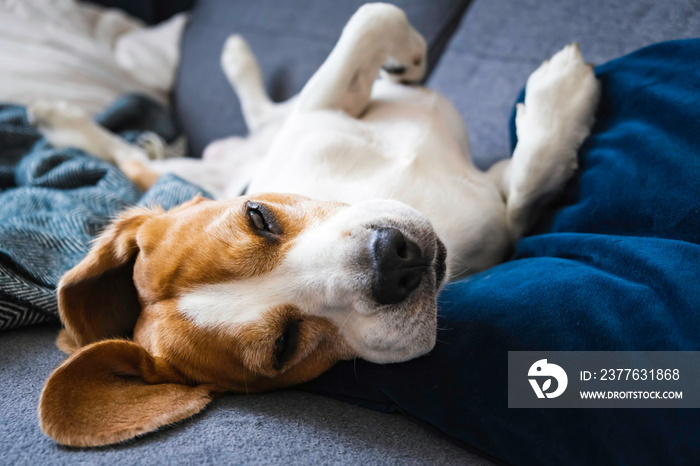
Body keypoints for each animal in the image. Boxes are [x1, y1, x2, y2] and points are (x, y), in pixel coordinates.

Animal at [30, 2, 600, 448]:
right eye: (284, 346)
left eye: (257, 216)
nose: (393, 262)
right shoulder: (503, 230)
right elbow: (522, 201)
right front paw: (559, 107)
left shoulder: (320, 110)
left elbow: (373, 19)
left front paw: (414, 64)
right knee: (136, 159)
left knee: (210, 133)